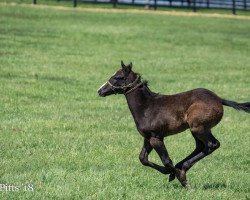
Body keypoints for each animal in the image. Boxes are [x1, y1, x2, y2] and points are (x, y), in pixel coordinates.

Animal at [98, 61, 250, 188]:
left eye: (117, 77)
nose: (100, 91)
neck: (146, 107)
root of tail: (219, 99)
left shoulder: (156, 137)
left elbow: (166, 161)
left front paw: (178, 177)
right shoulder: (148, 137)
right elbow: (143, 158)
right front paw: (174, 173)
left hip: (199, 127)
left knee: (212, 144)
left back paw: (182, 169)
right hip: (195, 129)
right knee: (201, 146)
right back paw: (182, 166)